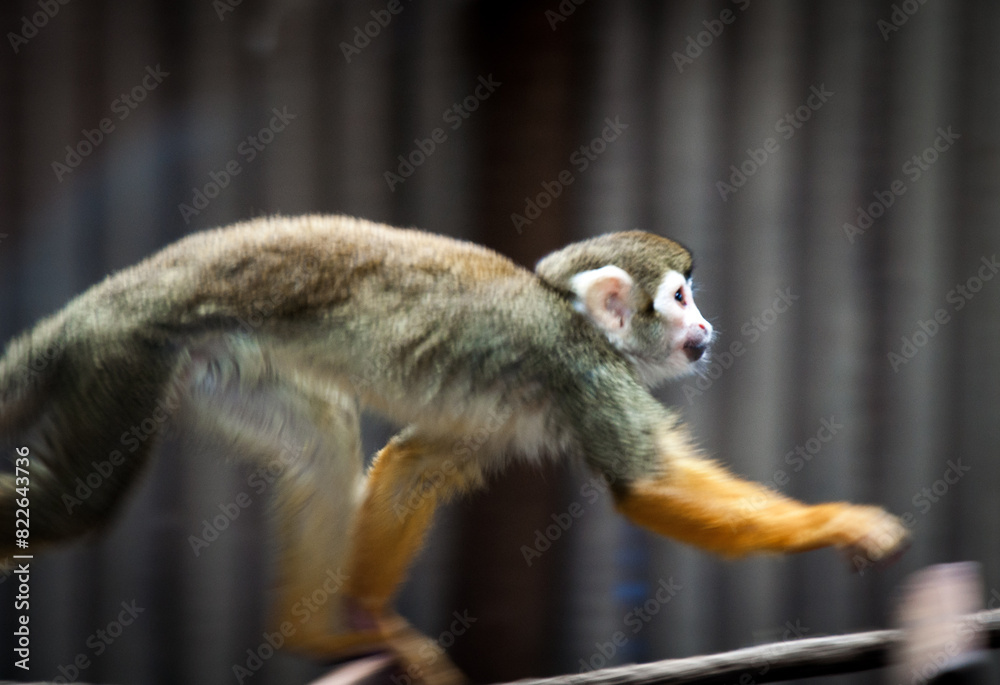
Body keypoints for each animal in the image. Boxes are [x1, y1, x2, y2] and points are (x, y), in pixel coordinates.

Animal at [0, 215, 908, 681]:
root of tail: (103, 299)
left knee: (321, 438)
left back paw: (319, 635)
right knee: (68, 506)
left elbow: (412, 466)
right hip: (124, 354)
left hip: (207, 359)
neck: (570, 317)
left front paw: (369, 616)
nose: (708, 326)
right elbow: (648, 487)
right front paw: (835, 522)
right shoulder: (578, 370)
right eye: (681, 299)